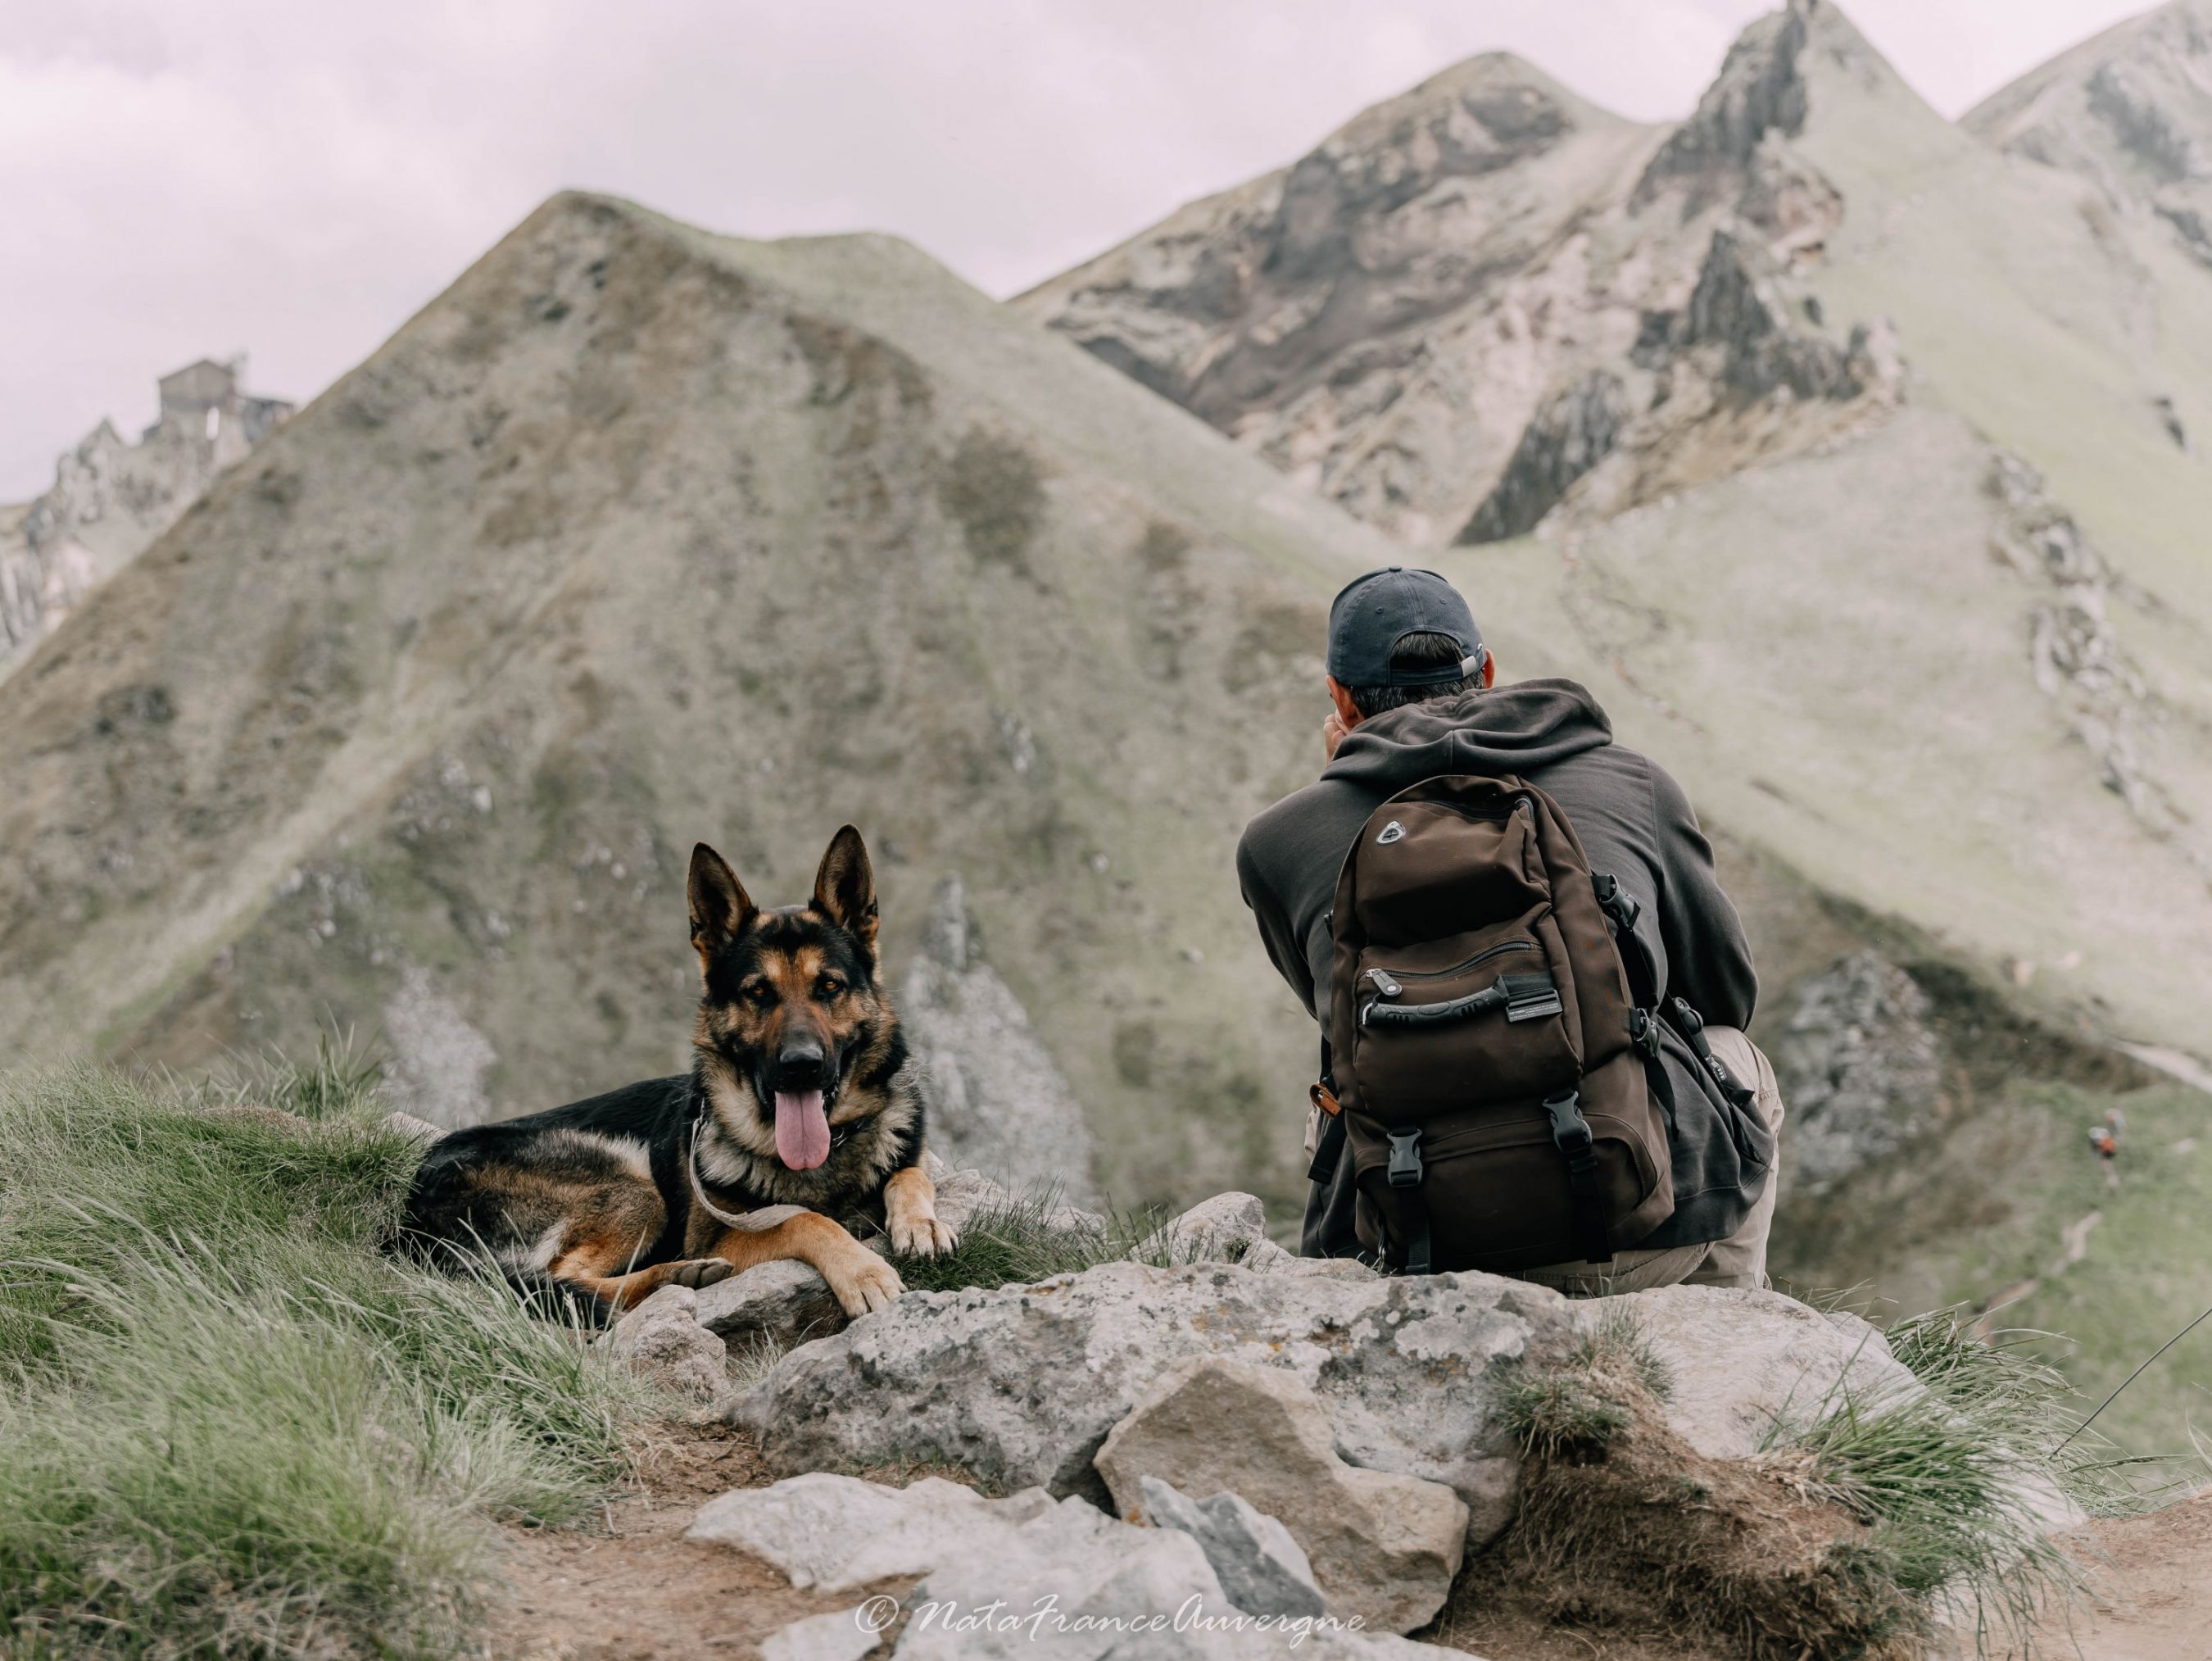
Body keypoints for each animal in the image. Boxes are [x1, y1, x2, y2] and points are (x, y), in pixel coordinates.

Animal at [405, 831, 951, 1327]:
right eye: (758, 992)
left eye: (830, 986)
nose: (802, 1064)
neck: (824, 1155)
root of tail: (412, 1203)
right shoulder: (722, 1233)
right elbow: (803, 1219)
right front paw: (863, 1271)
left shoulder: (906, 1153)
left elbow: (910, 1173)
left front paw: (922, 1223)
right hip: (630, 1181)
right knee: (563, 1280)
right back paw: (674, 1276)